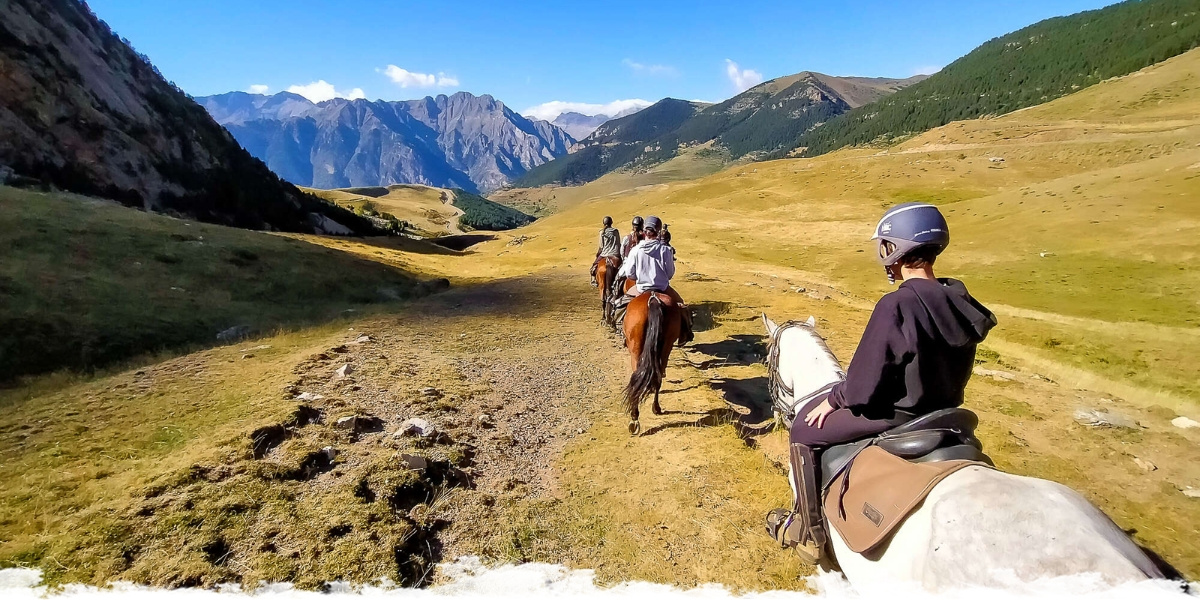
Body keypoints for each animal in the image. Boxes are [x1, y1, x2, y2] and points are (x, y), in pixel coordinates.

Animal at [624, 288, 681, 434]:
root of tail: (654, 299)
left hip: (635, 350)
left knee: (636, 378)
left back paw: (634, 418)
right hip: (667, 346)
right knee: (658, 376)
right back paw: (656, 407)